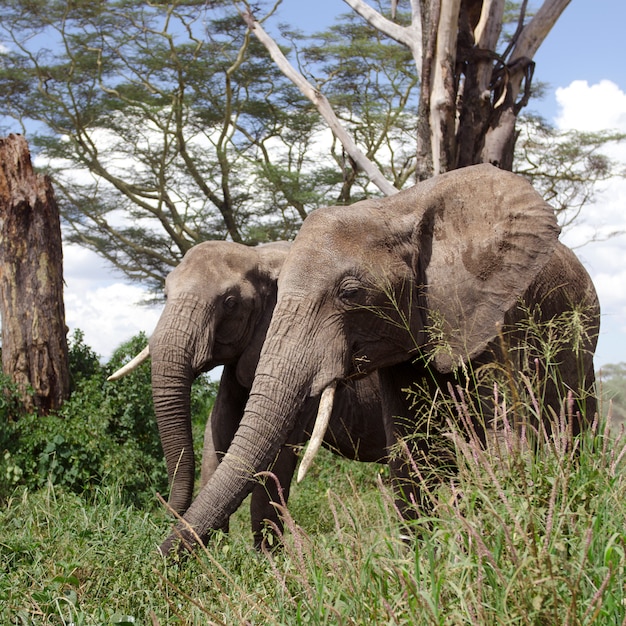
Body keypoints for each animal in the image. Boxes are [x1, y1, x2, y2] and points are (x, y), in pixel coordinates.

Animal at [111, 239, 386, 544]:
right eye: (165, 293)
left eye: (230, 303)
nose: (166, 510)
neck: (261, 255)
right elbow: (217, 429)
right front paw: (214, 549)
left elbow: (275, 455)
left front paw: (266, 554)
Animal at [161, 163, 600, 552]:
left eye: (351, 293)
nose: (158, 556)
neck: (396, 209)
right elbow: (410, 446)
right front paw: (427, 562)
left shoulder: (499, 315)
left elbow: (506, 432)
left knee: (574, 426)